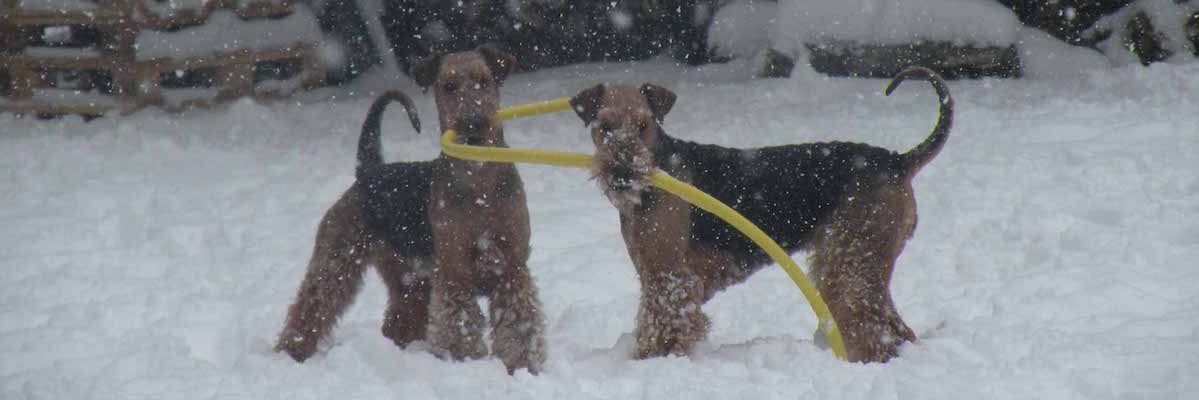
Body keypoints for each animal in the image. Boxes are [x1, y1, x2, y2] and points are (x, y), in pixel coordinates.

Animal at [275, 47, 544, 376]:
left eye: (484, 81)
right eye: (449, 86)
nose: (473, 125)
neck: (479, 182)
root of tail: (368, 171)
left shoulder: (512, 268)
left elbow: (521, 325)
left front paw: (523, 366)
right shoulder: (454, 275)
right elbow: (461, 325)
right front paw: (465, 361)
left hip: (409, 280)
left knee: (396, 321)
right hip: (337, 260)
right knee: (309, 308)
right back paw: (291, 352)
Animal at [570, 66, 954, 361]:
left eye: (643, 125)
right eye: (604, 126)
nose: (622, 172)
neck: (658, 169)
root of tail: (898, 160)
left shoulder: (670, 276)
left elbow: (662, 325)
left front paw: (651, 362)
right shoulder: (654, 272)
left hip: (852, 264)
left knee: (878, 326)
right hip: (852, 264)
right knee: (894, 327)